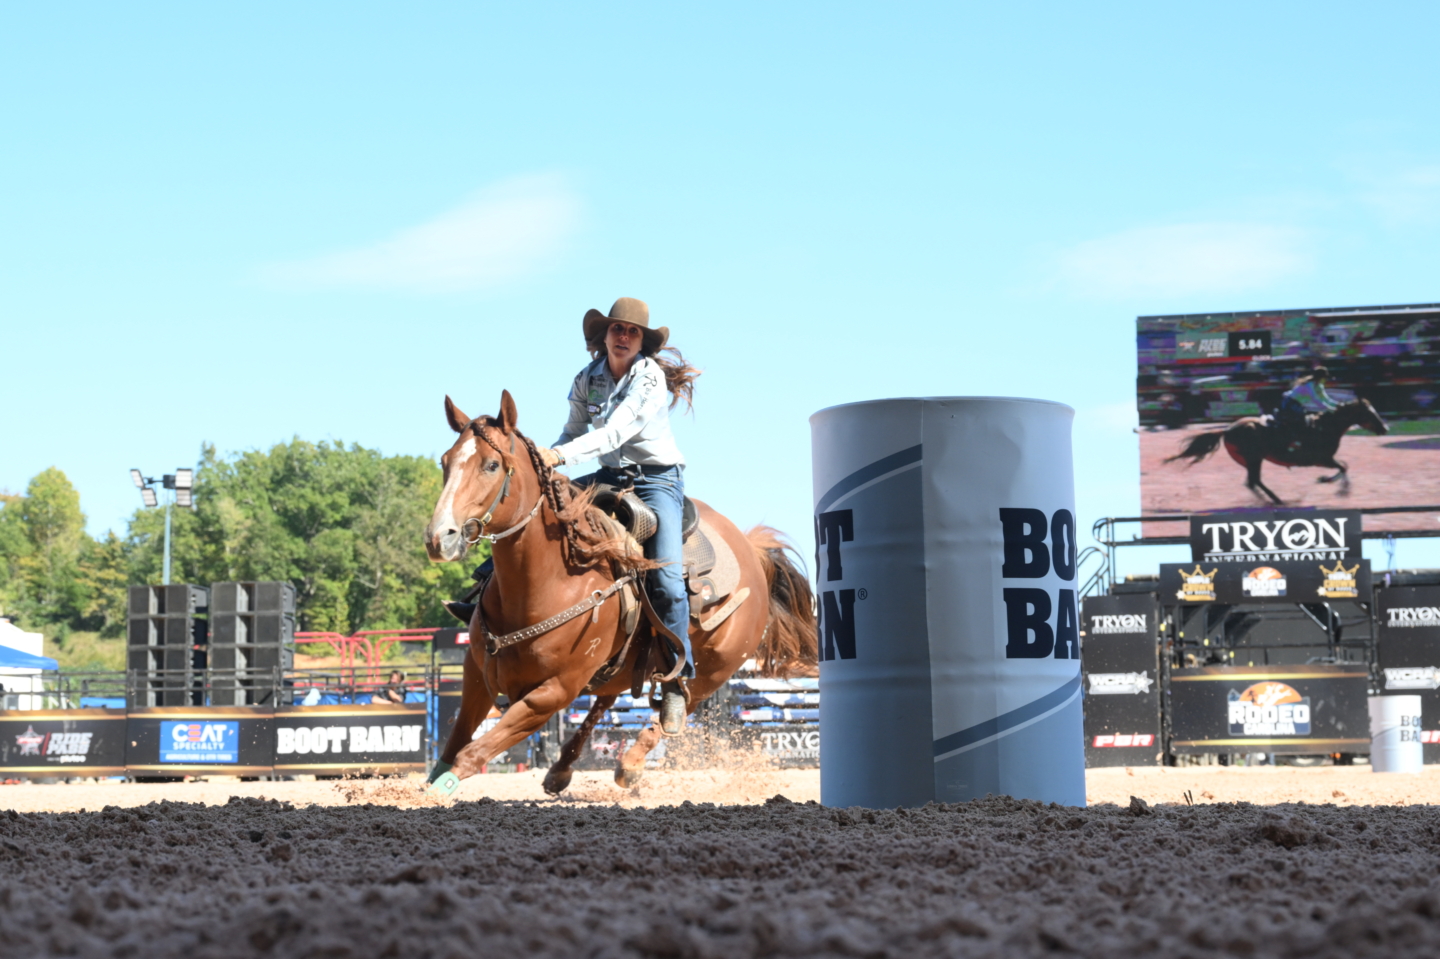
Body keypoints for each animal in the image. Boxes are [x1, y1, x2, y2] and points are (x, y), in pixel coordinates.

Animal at [420, 391, 817, 789]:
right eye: (445, 462)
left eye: (491, 466)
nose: (439, 538)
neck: (547, 584)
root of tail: (752, 551)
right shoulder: (476, 675)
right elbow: (453, 745)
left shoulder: (553, 693)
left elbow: (471, 754)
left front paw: (443, 788)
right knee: (606, 700)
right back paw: (561, 770)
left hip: (714, 670)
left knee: (677, 705)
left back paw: (632, 762)